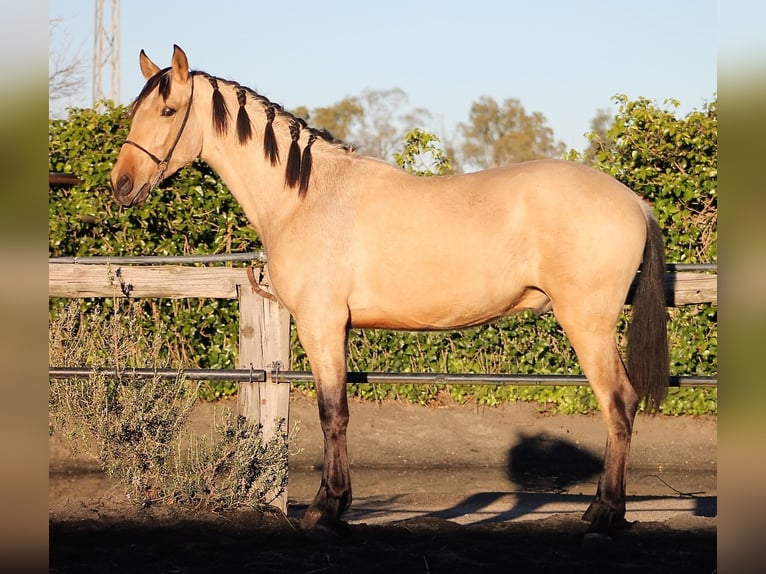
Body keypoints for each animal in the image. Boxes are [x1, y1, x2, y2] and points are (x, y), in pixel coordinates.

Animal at [111, 45, 668, 540]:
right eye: (135, 111)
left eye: (168, 110)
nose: (121, 185)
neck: (306, 197)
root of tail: (633, 201)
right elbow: (337, 412)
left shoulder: (320, 323)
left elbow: (332, 413)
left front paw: (327, 510)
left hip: (587, 323)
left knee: (619, 403)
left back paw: (604, 515)